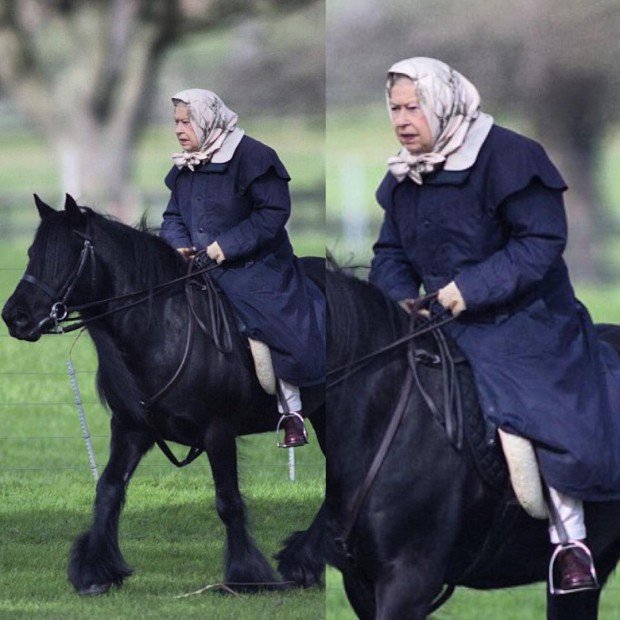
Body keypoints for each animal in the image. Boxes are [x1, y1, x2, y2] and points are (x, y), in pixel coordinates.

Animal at [2, 194, 325, 595]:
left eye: (65, 256)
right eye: (32, 253)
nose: (14, 317)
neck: (166, 328)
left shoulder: (218, 432)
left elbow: (227, 500)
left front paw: (246, 575)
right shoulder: (131, 429)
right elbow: (108, 490)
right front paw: (95, 572)